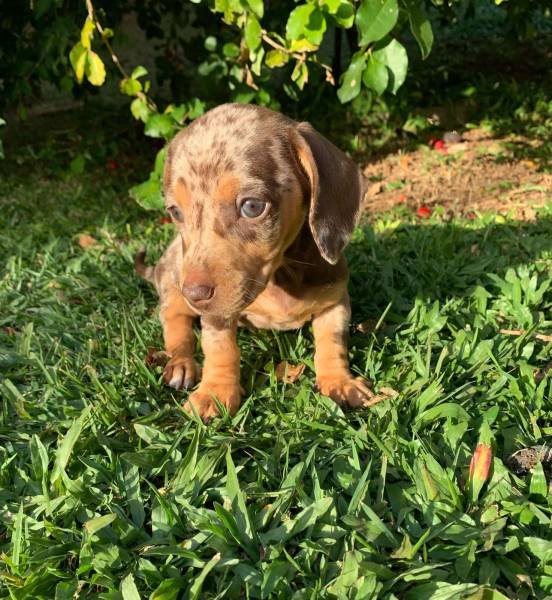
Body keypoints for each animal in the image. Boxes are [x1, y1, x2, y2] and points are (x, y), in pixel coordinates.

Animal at [135, 103, 376, 420]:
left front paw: (338, 380)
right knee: (176, 326)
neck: (278, 276)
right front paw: (215, 392)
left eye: (251, 206)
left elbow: (331, 343)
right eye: (175, 212)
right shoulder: (216, 313)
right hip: (173, 287)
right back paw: (180, 364)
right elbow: (220, 349)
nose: (194, 295)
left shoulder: (334, 302)